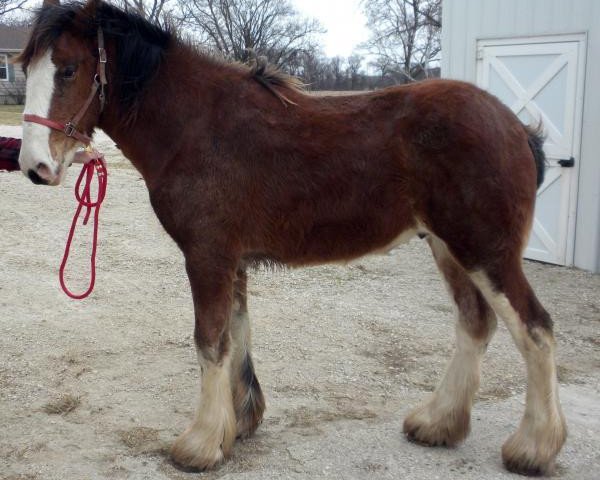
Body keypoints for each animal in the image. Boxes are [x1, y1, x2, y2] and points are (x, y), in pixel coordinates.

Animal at [16, 0, 564, 474]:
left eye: (68, 69)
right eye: (25, 69)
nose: (34, 167)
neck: (196, 127)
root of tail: (514, 126)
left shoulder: (207, 257)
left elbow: (209, 341)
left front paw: (200, 445)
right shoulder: (231, 261)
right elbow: (236, 336)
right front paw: (237, 425)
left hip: (485, 251)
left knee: (534, 328)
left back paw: (533, 447)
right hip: (448, 247)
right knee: (475, 323)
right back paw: (439, 424)